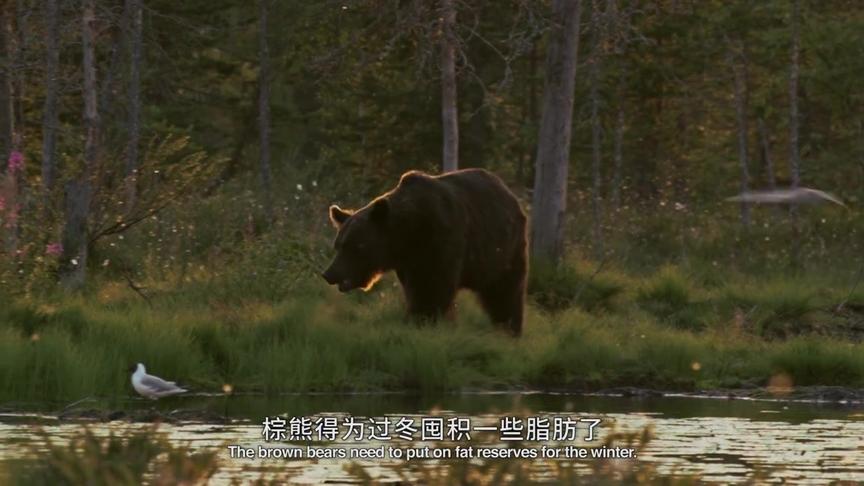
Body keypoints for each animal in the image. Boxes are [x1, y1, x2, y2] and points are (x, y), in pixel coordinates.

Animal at [322, 169, 528, 336]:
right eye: (338, 245)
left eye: (356, 245)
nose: (329, 274)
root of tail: (511, 195)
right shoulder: (409, 263)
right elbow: (415, 290)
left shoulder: (441, 242)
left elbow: (433, 288)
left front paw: (423, 321)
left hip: (505, 250)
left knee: (505, 290)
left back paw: (509, 328)